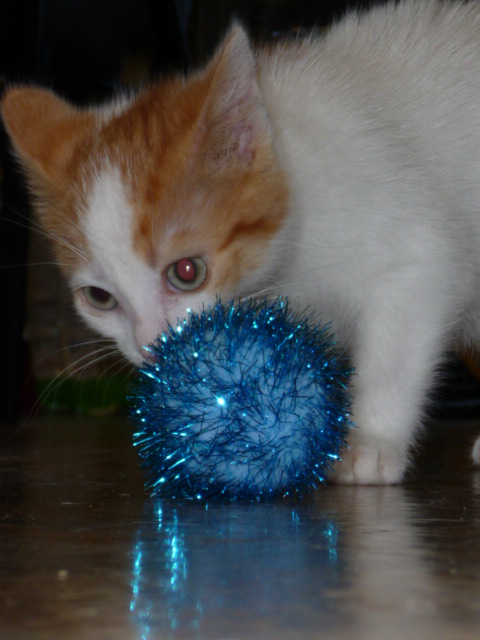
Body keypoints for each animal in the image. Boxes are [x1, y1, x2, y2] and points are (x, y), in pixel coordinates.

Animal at [2, 0, 480, 482]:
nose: (151, 345)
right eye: (99, 298)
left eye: (187, 271)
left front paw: (372, 441)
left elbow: (393, 355)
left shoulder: (419, 252)